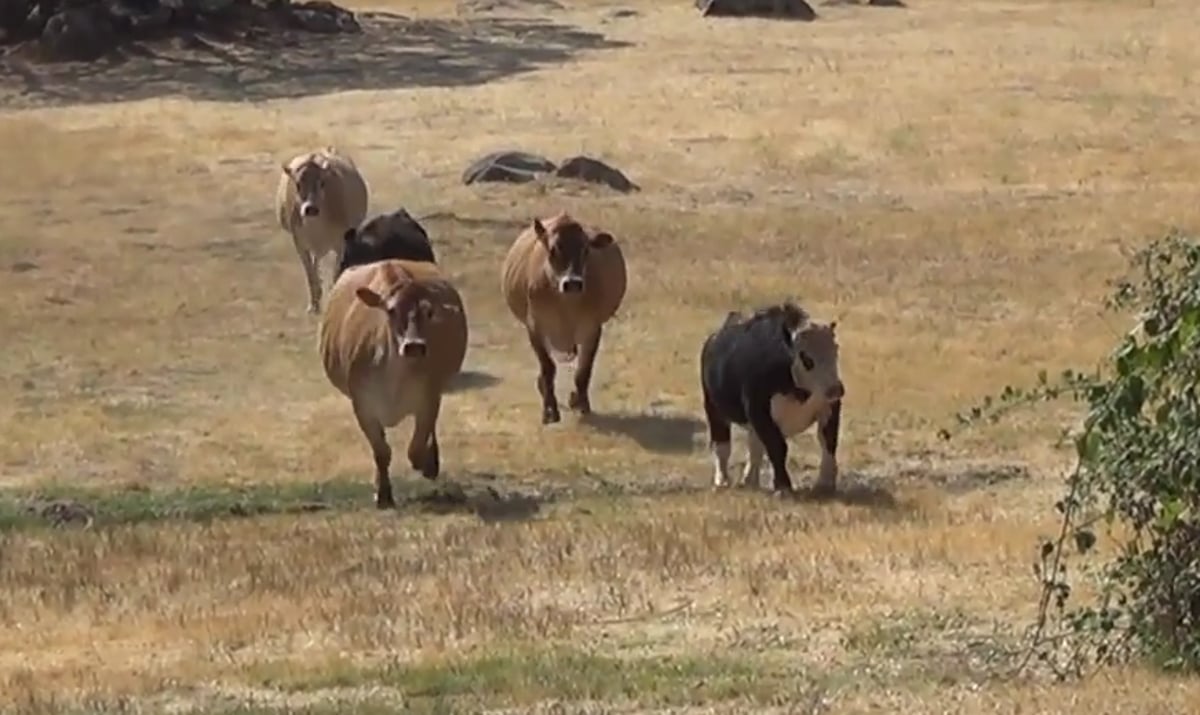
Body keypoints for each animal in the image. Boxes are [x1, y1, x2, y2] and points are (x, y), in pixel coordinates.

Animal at [700, 301, 844, 496]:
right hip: (714, 409)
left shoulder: (829, 408)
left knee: (755, 447)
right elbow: (777, 447)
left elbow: (828, 442)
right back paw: (722, 481)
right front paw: (783, 487)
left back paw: (749, 481)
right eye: (806, 357)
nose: (836, 389)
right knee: (722, 446)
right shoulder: (760, 411)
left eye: (835, 350)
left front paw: (825, 484)